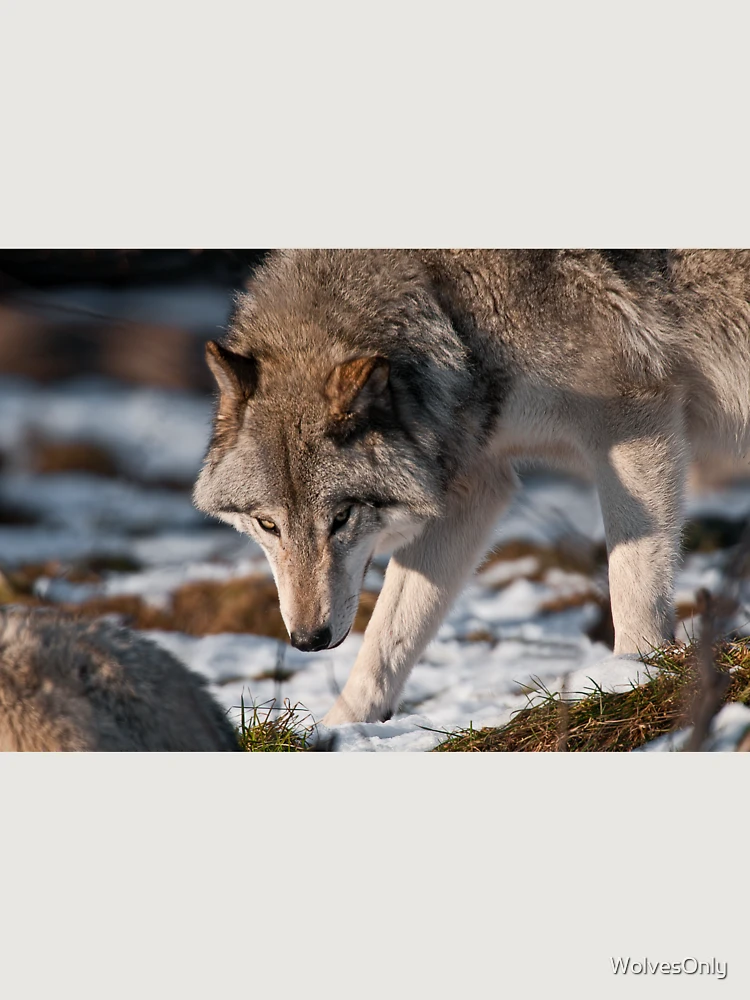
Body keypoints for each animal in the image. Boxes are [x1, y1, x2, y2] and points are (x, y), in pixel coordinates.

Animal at [193, 249, 750, 725]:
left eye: (342, 517)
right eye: (268, 524)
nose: (308, 640)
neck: (452, 311)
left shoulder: (633, 421)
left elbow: (634, 587)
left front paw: (630, 681)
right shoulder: (475, 484)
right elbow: (386, 639)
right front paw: (341, 733)